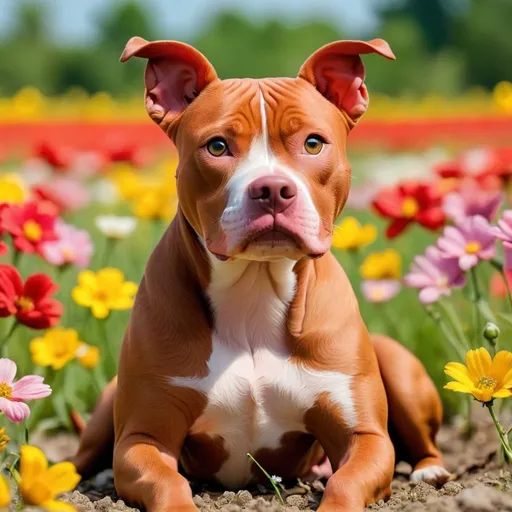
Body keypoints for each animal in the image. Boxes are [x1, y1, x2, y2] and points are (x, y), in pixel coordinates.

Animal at [71, 37, 448, 512]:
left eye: (313, 143)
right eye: (216, 147)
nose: (271, 189)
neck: (255, 288)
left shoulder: (363, 435)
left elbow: (345, 481)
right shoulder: (144, 437)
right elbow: (166, 482)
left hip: (397, 364)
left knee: (424, 442)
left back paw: (430, 471)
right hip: (107, 406)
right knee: (80, 457)